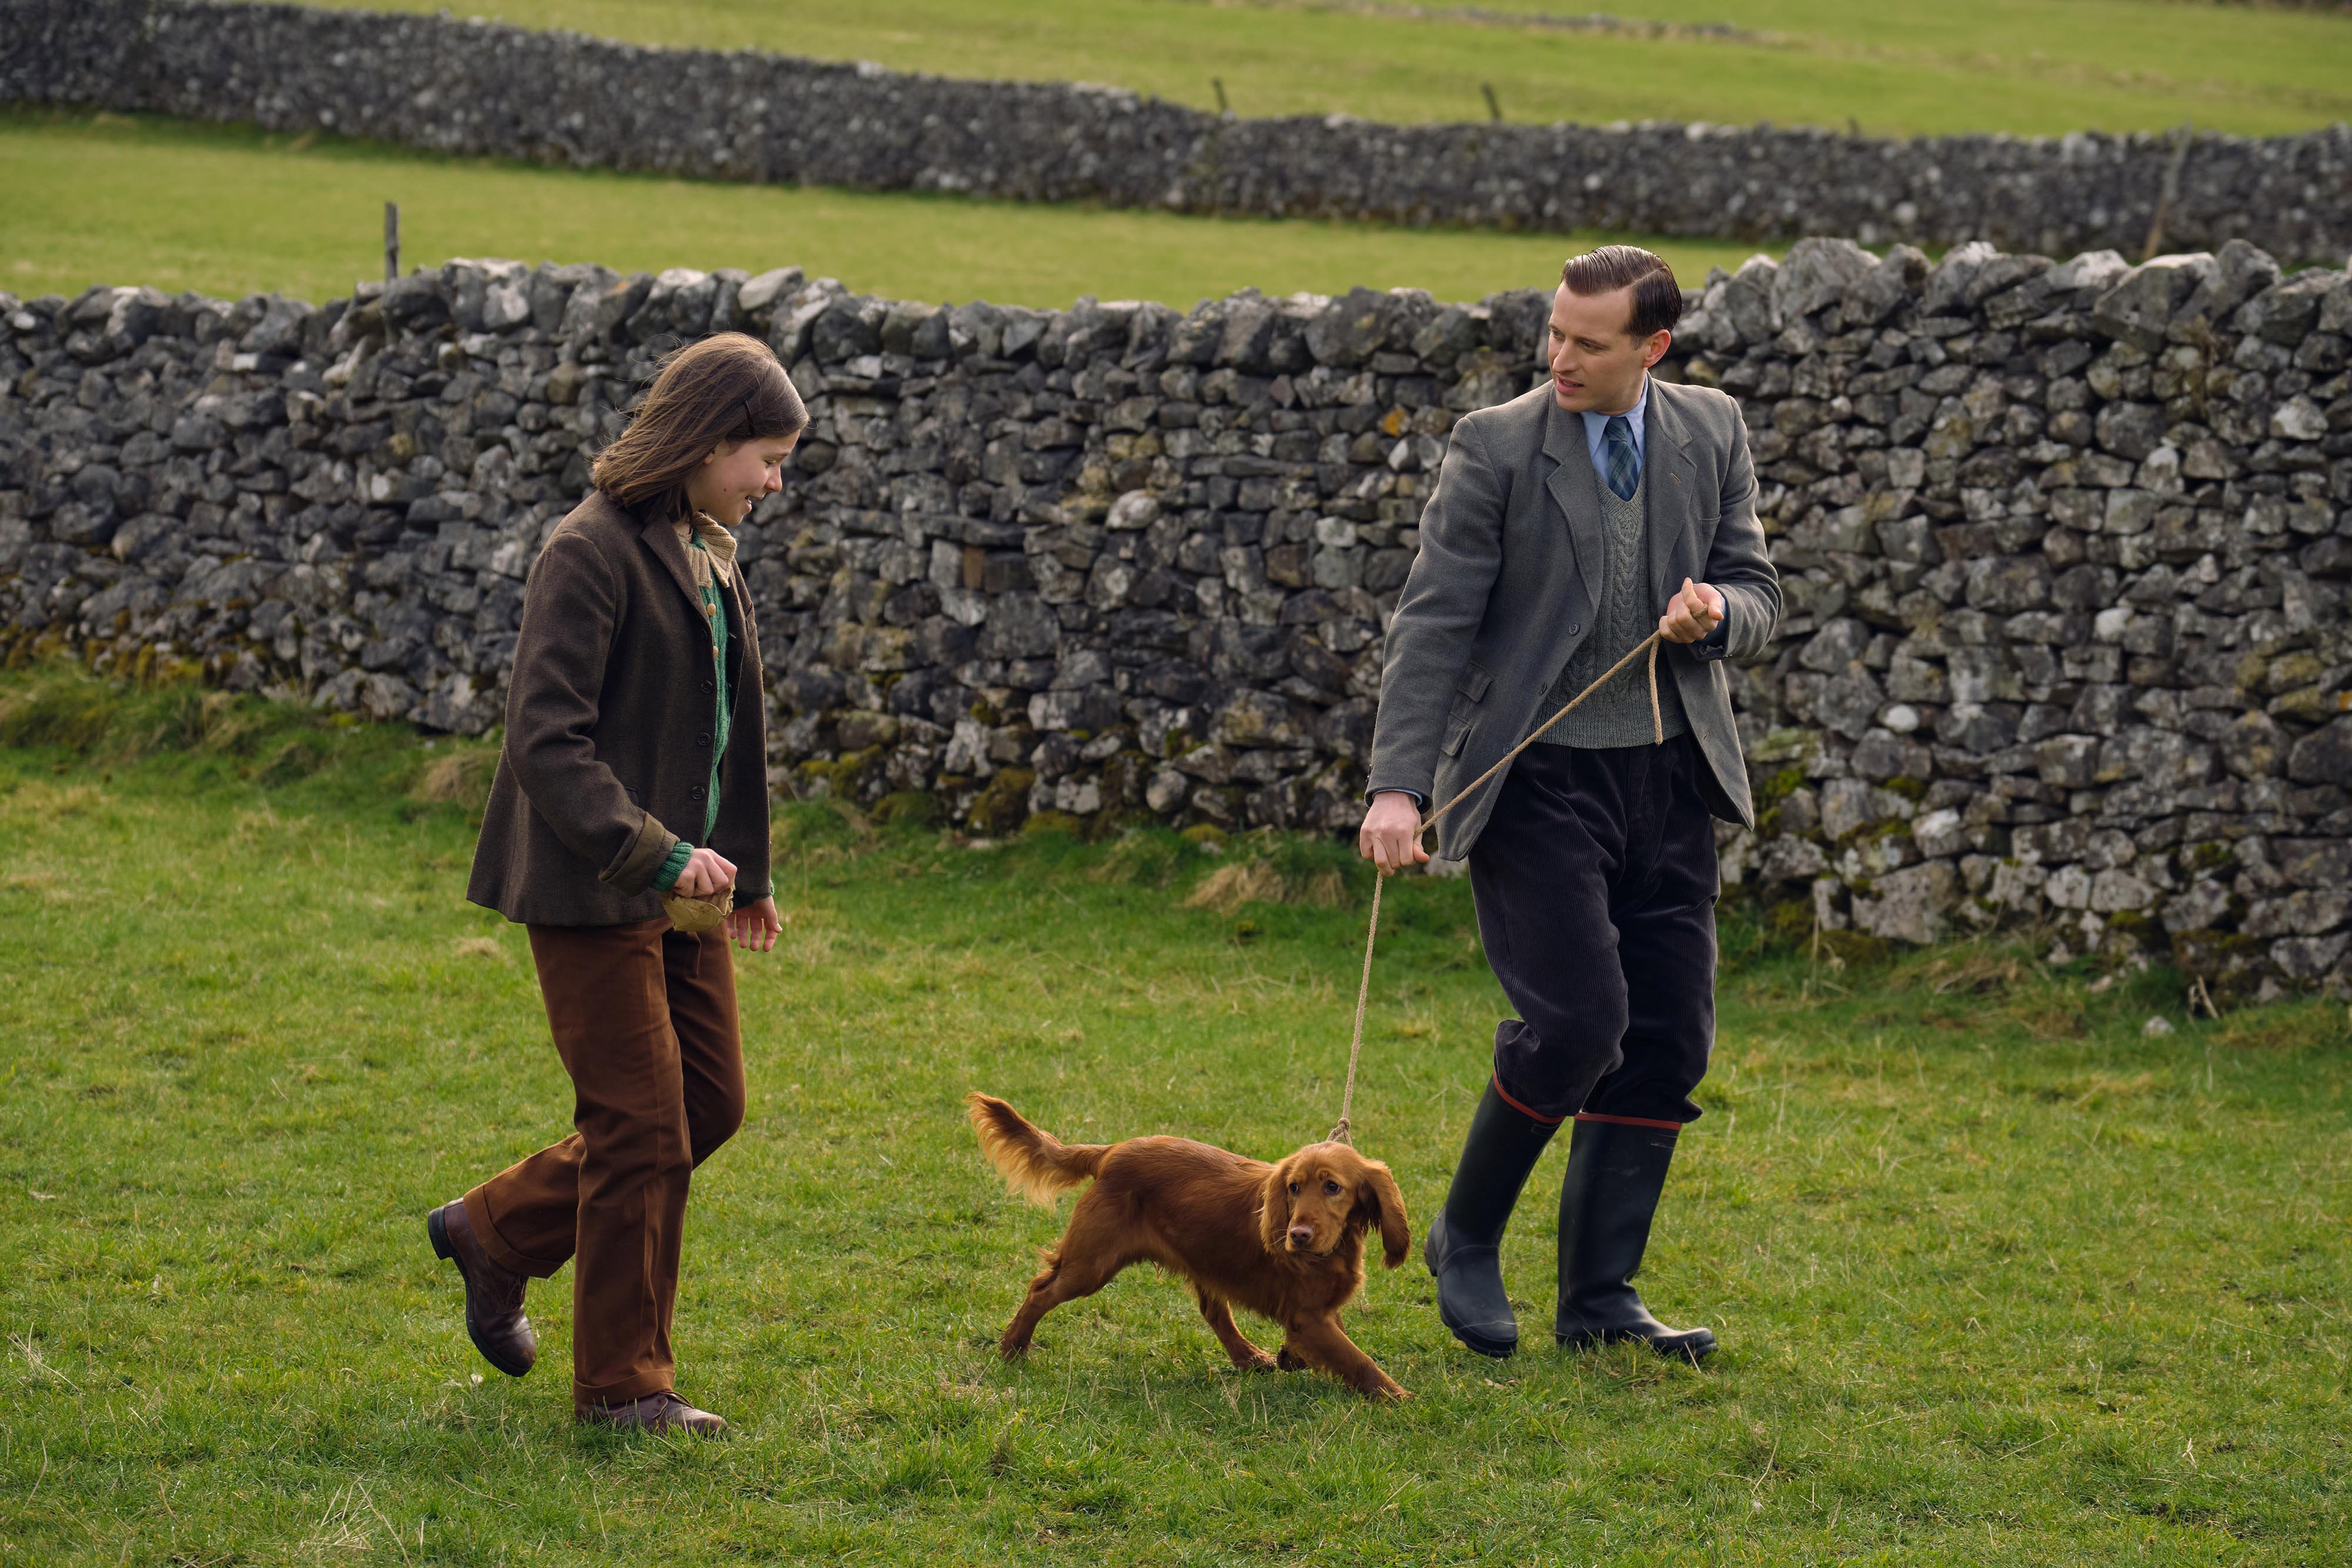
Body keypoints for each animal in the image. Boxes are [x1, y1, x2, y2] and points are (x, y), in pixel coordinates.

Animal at [960, 1091, 1402, 1401]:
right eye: (1293, 1187)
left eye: (1333, 1187)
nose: (1298, 1235)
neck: (1334, 1248)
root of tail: (1111, 1151)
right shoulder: (1309, 1316)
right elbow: (1357, 1359)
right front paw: (1399, 1397)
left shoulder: (1318, 1310)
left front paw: (1291, 1357)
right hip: (1091, 1264)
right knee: (1040, 1290)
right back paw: (1013, 1349)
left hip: (1203, 1254)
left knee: (1214, 1311)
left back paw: (1248, 1357)